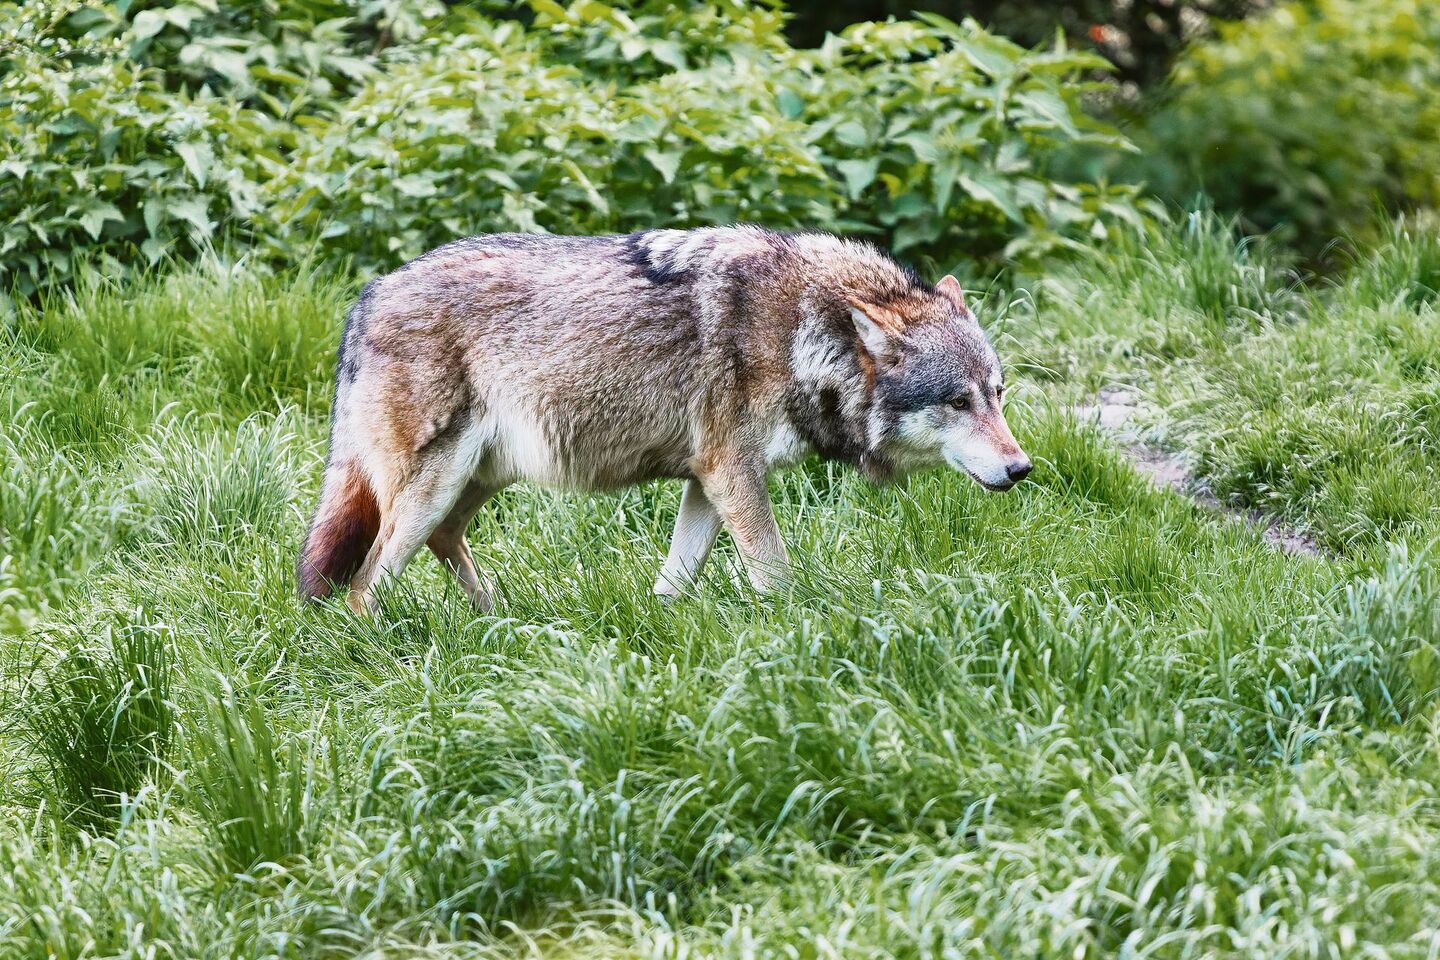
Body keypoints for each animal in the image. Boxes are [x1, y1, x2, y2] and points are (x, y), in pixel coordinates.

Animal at [298, 226, 1031, 613]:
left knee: (445, 540)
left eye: (997, 394)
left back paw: (497, 618)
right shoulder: (733, 473)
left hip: (478, 479)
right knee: (364, 585)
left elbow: (676, 578)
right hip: (432, 486)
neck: (803, 333)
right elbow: (775, 572)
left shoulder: (707, 481)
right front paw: (798, 632)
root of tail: (365, 298)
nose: (1022, 468)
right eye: (959, 401)